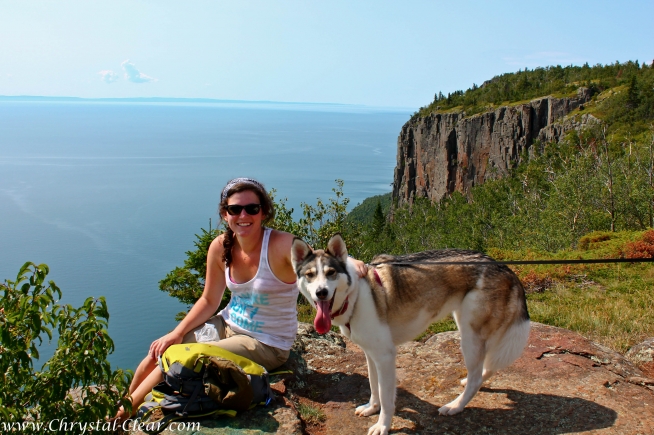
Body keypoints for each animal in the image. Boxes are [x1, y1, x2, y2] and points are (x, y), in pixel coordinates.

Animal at [292, 235, 532, 435]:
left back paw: (455, 406)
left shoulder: (385, 356)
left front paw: (383, 425)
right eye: (310, 275)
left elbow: (387, 397)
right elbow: (374, 386)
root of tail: (504, 267)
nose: (321, 292)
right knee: (487, 367)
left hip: (470, 335)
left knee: (477, 376)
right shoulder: (371, 354)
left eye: (331, 273)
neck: (356, 293)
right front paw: (372, 407)